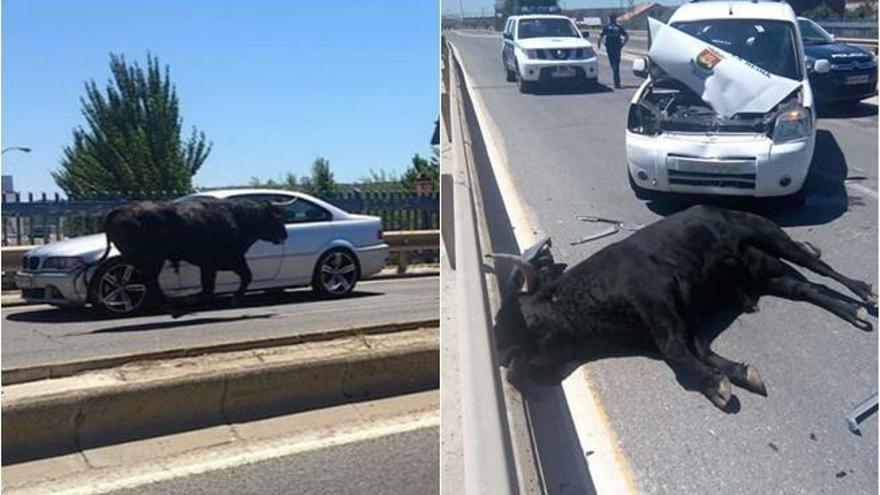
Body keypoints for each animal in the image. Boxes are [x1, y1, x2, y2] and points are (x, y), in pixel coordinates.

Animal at [95, 197, 296, 318]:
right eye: (278, 218)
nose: (285, 235)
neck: (238, 218)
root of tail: (118, 211)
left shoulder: (209, 264)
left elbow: (209, 287)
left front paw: (192, 299)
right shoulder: (230, 259)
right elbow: (245, 277)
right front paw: (231, 300)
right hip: (152, 260)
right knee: (151, 284)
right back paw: (174, 309)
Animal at [488, 204, 872, 410]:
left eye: (516, 315)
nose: (500, 351)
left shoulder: (663, 306)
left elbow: (679, 354)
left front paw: (717, 385)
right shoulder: (681, 322)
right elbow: (699, 351)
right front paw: (739, 374)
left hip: (771, 237)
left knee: (820, 267)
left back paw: (866, 294)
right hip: (770, 273)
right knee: (809, 287)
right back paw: (852, 313)